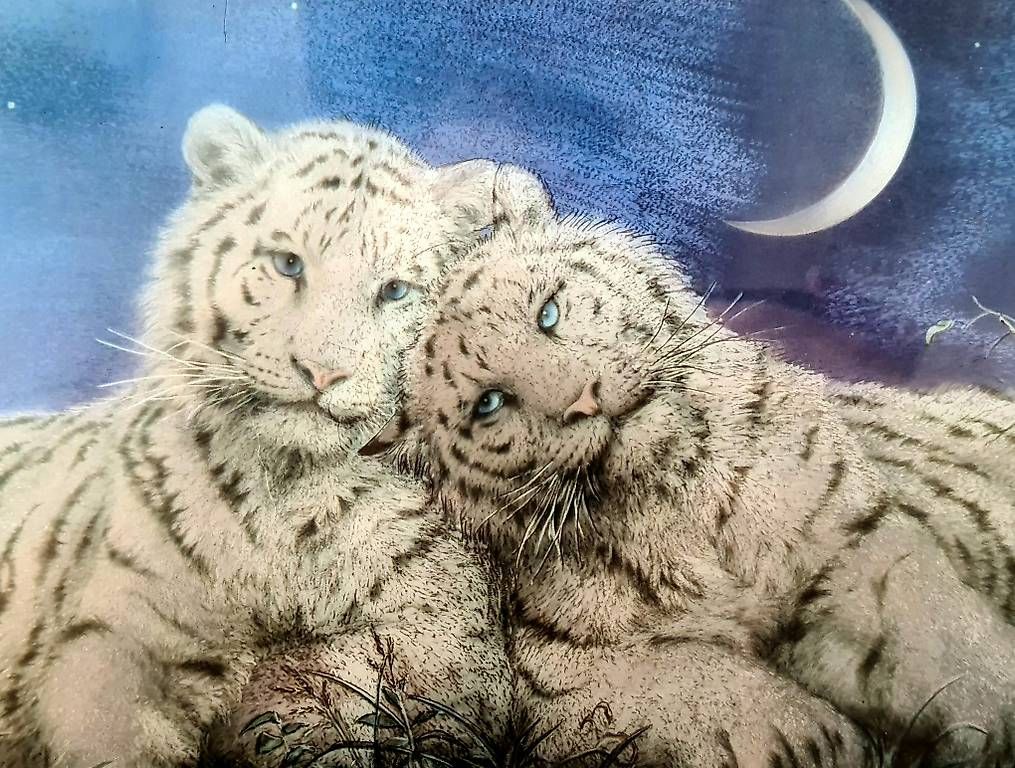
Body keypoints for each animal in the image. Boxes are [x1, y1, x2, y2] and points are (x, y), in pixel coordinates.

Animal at [0, 104, 552, 767]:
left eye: (395, 290)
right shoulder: (119, 627)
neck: (286, 499)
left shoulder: (447, 621)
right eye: (289, 263)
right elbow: (112, 728)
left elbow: (356, 668)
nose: (323, 370)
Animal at [362, 187, 1015, 767]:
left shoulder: (852, 541)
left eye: (547, 311)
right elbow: (703, 686)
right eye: (489, 403)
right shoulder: (560, 664)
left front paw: (993, 712)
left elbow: (940, 640)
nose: (584, 399)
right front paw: (821, 739)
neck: (683, 501)